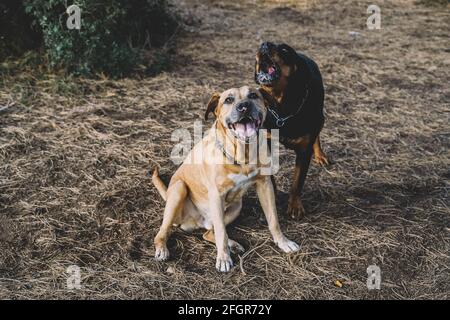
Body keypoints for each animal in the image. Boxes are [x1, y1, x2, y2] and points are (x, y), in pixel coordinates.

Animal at [152, 85, 298, 272]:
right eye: (228, 100)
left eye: (253, 95)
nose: (244, 107)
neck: (242, 154)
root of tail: (200, 222)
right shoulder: (216, 195)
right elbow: (222, 231)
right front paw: (223, 258)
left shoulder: (265, 185)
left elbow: (273, 220)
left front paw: (283, 242)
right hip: (179, 190)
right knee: (163, 232)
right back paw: (162, 249)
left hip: (237, 205)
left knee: (208, 233)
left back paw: (232, 245)